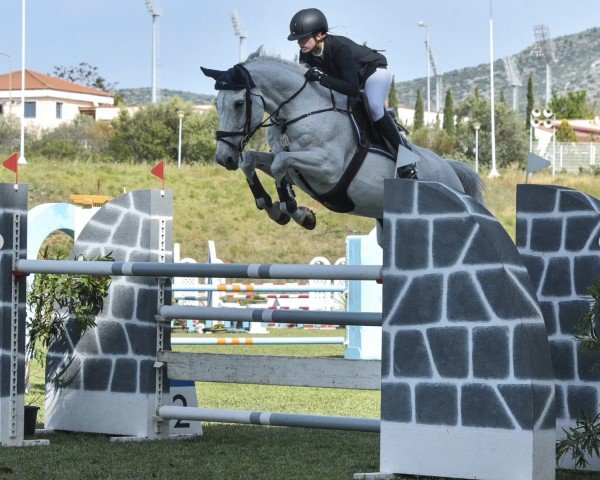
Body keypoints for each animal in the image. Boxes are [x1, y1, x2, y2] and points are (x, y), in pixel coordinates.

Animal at [204, 52, 486, 232]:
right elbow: (253, 161)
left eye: (239, 103)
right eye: (217, 104)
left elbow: (279, 164)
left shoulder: (327, 167)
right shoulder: (295, 169)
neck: (303, 110)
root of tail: (452, 171)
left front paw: (295, 210)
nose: (223, 158)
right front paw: (279, 210)